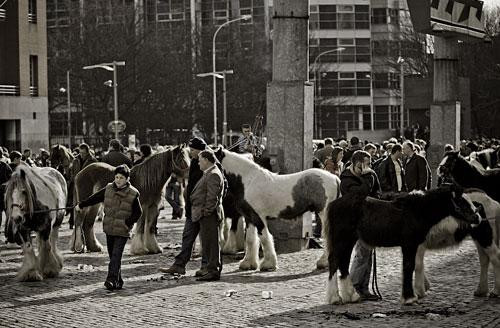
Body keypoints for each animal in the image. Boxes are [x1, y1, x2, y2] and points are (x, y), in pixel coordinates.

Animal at [213, 149, 342, 272]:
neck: (247, 181)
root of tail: (335, 178)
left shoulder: (259, 217)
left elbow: (265, 238)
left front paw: (268, 264)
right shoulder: (250, 217)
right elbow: (250, 239)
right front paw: (248, 264)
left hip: (323, 214)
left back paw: (323, 262)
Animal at [326, 184, 482, 304]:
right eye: (461, 201)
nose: (478, 217)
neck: (416, 211)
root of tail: (333, 204)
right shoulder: (409, 245)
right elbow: (408, 266)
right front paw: (409, 298)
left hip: (349, 240)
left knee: (343, 263)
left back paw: (351, 296)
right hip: (341, 239)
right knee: (334, 261)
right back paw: (335, 298)